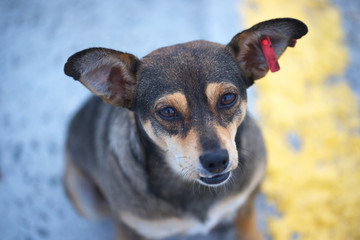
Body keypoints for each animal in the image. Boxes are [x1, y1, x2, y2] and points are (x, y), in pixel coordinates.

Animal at [63, 17, 308, 239]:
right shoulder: (129, 229)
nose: (216, 160)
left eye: (228, 98)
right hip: (86, 201)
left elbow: (247, 225)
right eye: (167, 111)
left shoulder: (249, 195)